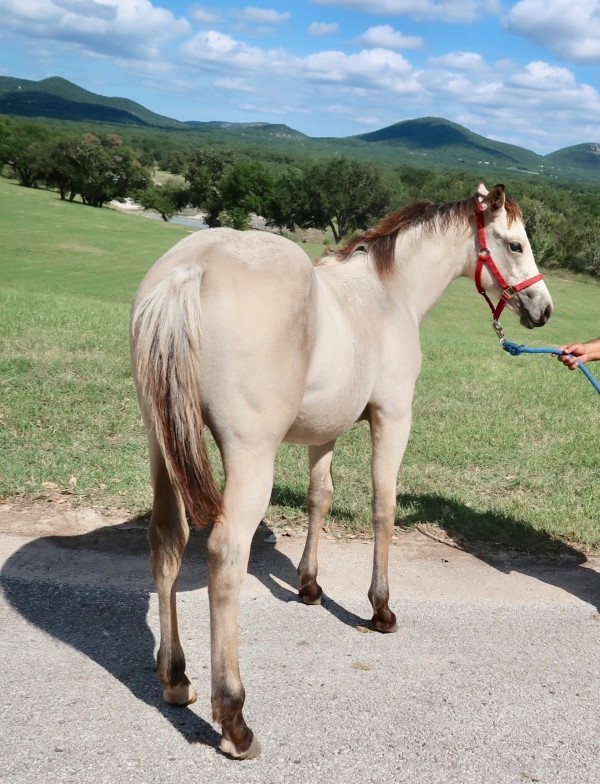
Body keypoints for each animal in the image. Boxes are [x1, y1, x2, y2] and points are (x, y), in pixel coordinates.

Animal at [131, 184, 552, 760]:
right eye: (514, 245)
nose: (543, 308)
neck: (387, 295)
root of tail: (190, 270)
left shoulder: (323, 432)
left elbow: (320, 497)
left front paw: (309, 586)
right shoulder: (392, 419)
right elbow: (383, 507)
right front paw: (381, 610)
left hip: (163, 445)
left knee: (167, 540)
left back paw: (176, 679)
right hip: (248, 458)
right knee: (224, 555)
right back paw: (235, 720)